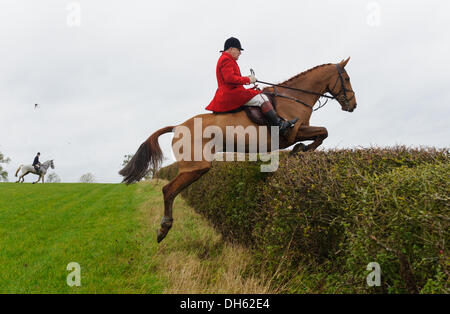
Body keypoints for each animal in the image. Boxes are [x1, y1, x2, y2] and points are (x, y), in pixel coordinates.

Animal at [120, 57, 358, 243]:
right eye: (346, 79)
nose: (353, 105)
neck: (293, 98)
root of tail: (178, 126)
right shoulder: (292, 132)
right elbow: (322, 132)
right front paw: (300, 149)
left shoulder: (299, 132)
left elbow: (322, 133)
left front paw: (301, 150)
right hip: (196, 167)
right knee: (168, 190)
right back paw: (164, 228)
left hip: (194, 168)